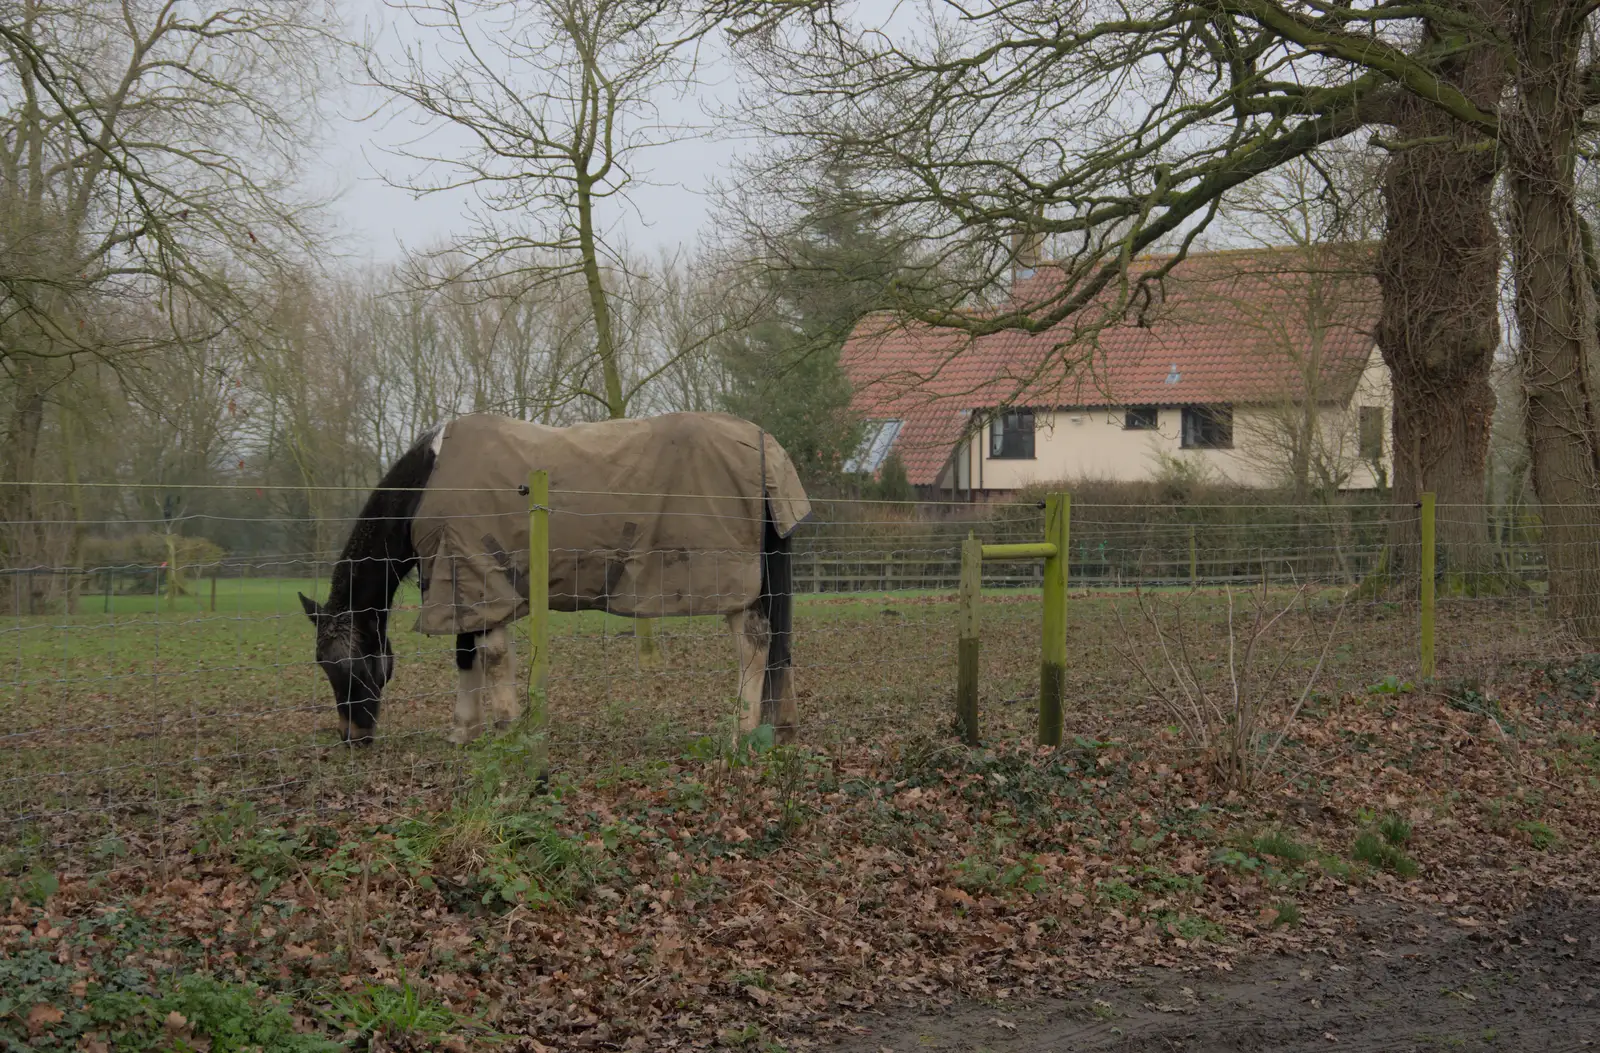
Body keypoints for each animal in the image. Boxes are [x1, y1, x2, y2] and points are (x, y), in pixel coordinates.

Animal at [297, 409, 812, 745]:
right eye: (323, 665)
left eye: (354, 665)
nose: (352, 736)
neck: (426, 483)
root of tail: (766, 446)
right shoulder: (465, 583)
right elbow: (467, 656)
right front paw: (465, 731)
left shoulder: (476, 575)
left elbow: (490, 656)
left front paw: (506, 727)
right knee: (778, 643)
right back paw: (781, 726)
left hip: (734, 581)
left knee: (755, 642)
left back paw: (742, 730)